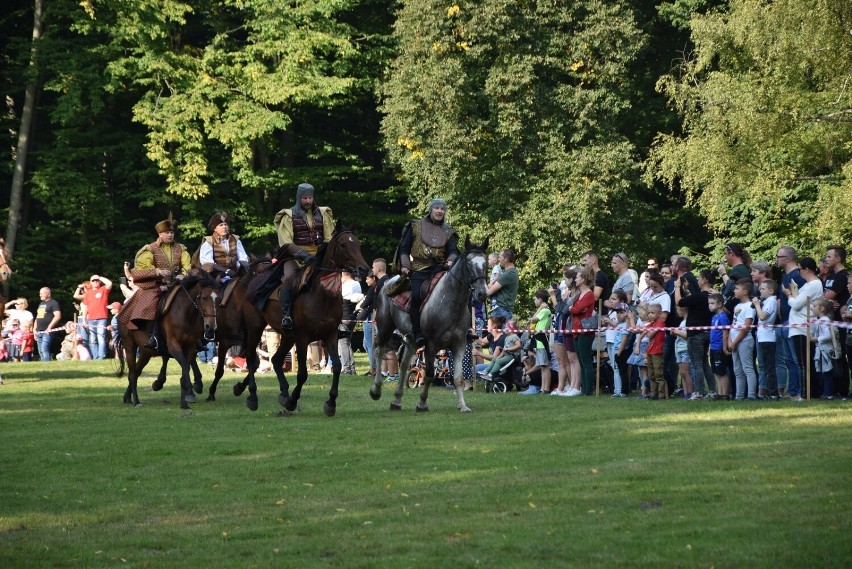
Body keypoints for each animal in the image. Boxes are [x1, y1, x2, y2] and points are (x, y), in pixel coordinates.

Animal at [116, 270, 220, 408]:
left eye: (218, 299)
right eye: (203, 297)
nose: (211, 326)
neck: (186, 314)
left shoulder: (190, 347)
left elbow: (185, 368)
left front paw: (185, 401)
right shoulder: (173, 346)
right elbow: (185, 366)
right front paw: (189, 392)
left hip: (146, 352)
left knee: (137, 371)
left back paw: (128, 397)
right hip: (129, 346)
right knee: (132, 374)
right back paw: (137, 401)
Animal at [243, 224, 370, 414]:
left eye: (357, 243)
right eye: (343, 245)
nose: (364, 269)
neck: (323, 296)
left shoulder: (330, 336)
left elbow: (337, 366)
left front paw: (330, 403)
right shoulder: (303, 338)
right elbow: (302, 373)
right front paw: (292, 401)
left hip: (287, 336)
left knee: (275, 359)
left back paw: (282, 393)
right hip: (256, 327)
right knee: (252, 358)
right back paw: (253, 396)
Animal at [370, 236, 490, 412]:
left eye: (486, 263)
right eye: (468, 263)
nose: (482, 293)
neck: (449, 303)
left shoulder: (459, 344)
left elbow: (458, 377)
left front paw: (462, 406)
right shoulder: (431, 345)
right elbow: (428, 374)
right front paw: (422, 403)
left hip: (412, 339)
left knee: (404, 365)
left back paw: (396, 400)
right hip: (385, 327)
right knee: (379, 351)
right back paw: (376, 390)